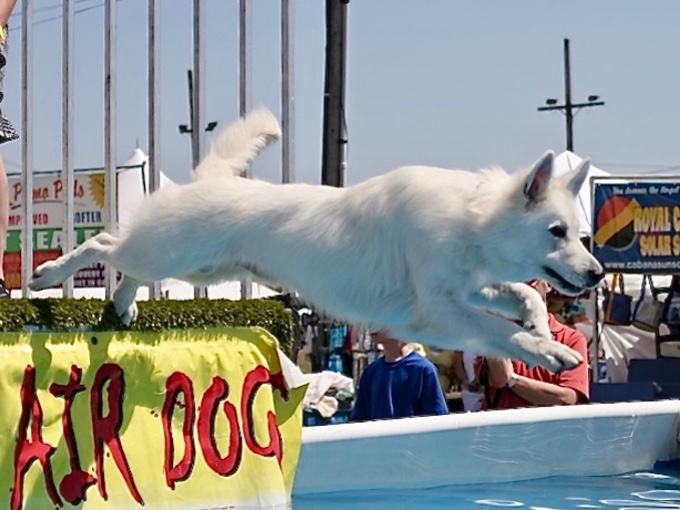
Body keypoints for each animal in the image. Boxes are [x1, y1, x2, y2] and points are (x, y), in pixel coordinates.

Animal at [29, 107, 604, 370]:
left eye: (578, 234)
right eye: (555, 232)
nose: (598, 273)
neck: (472, 219)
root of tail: (212, 179)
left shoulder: (468, 289)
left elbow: (524, 294)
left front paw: (540, 327)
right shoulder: (437, 312)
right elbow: (498, 329)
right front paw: (549, 351)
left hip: (198, 267)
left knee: (126, 269)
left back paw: (123, 307)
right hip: (171, 253)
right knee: (105, 247)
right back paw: (46, 275)